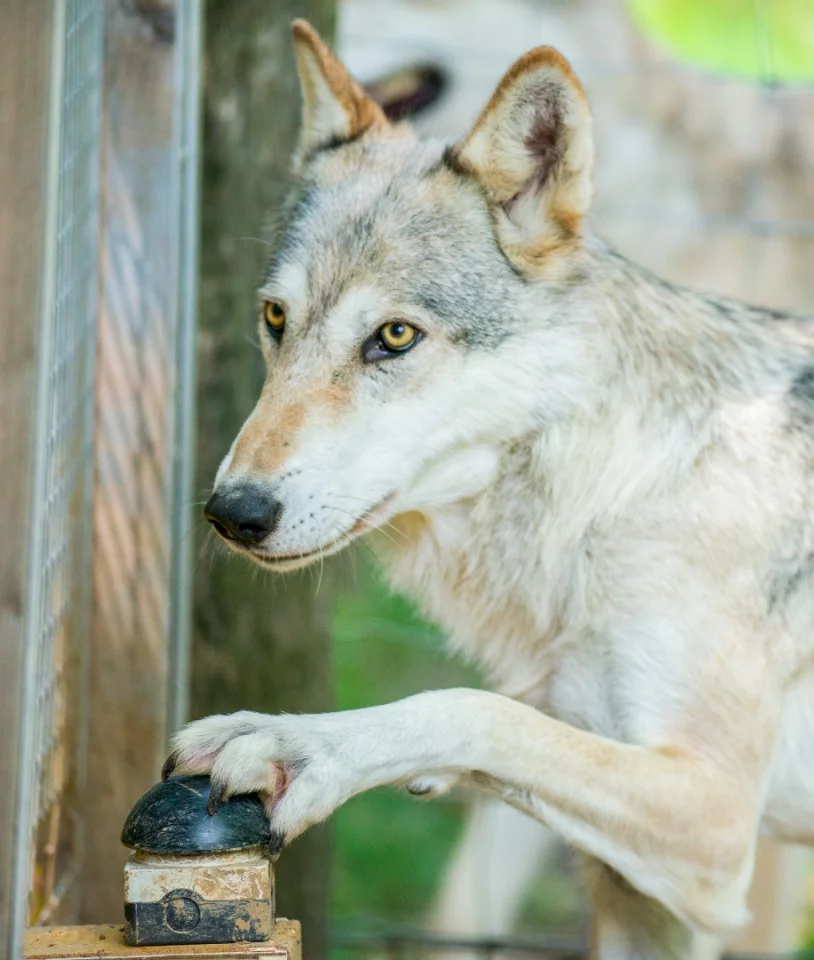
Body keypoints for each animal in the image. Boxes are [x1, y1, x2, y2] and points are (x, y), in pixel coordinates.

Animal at [164, 20, 814, 959]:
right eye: (276, 320)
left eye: (395, 337)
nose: (232, 514)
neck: (611, 498)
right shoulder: (642, 898)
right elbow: (508, 733)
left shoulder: (718, 819)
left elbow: (475, 708)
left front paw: (295, 743)